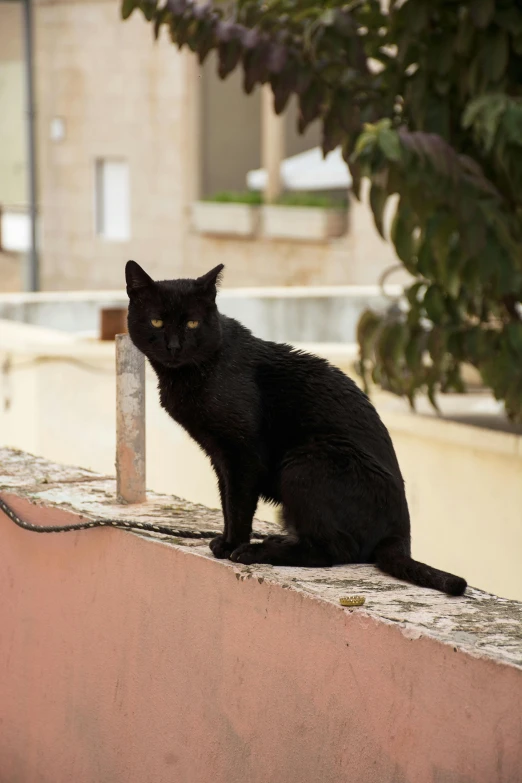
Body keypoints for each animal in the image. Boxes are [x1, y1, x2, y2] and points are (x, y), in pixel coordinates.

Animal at [125, 260, 464, 596]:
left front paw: (233, 545)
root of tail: (401, 534)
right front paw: (226, 541)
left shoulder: (243, 455)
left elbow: (238, 504)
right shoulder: (220, 456)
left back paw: (257, 552)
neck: (192, 372)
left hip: (308, 460)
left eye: (193, 324)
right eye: (157, 322)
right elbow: (227, 502)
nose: (174, 346)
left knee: (334, 551)